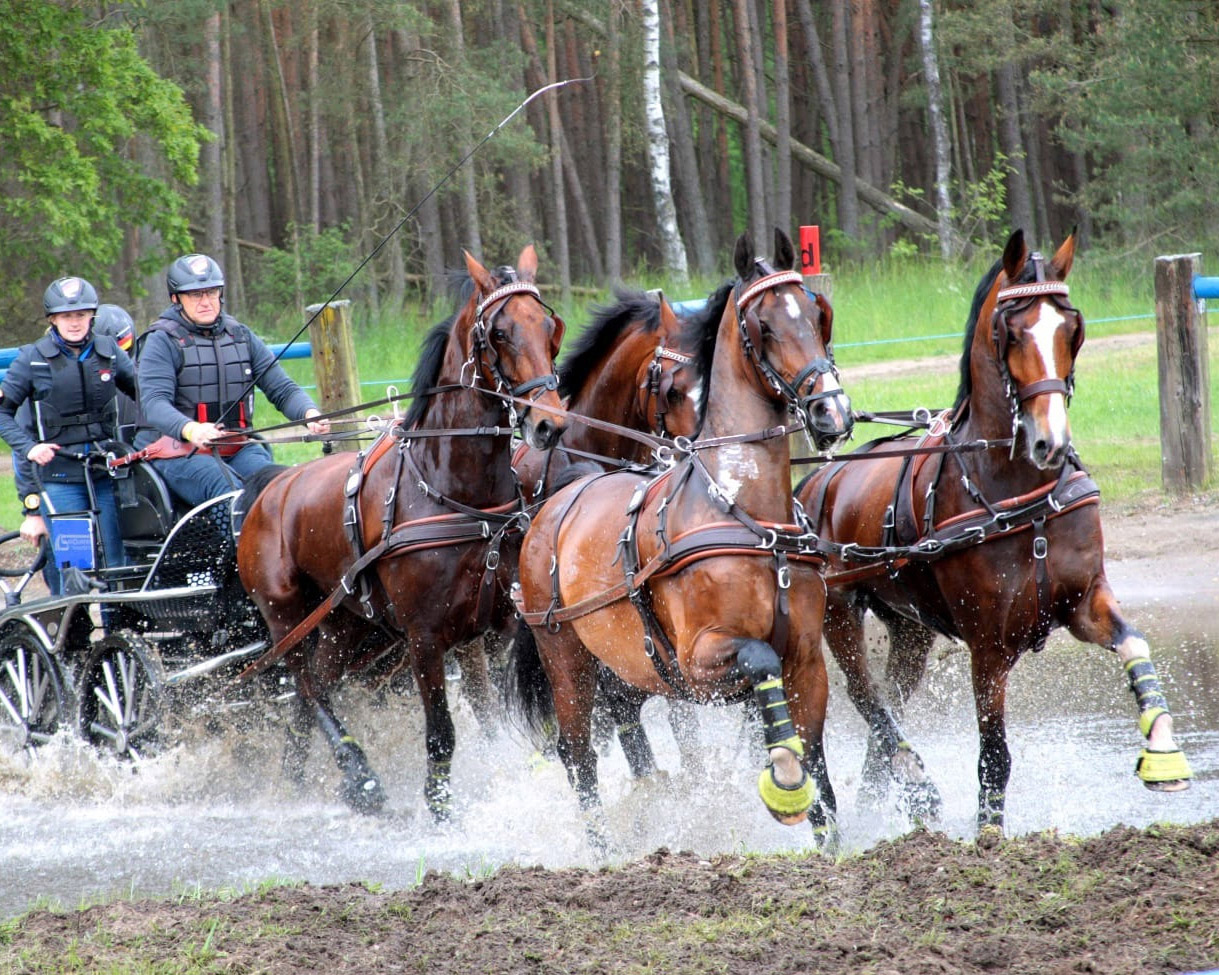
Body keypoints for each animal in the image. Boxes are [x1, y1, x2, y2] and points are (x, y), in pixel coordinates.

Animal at [235, 246, 568, 814]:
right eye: (500, 333)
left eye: (548, 327)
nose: (550, 424)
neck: (453, 492)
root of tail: (271, 487)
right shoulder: (424, 639)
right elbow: (442, 736)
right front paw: (440, 813)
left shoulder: (499, 628)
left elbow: (503, 716)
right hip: (285, 618)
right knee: (308, 687)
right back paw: (358, 776)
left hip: (345, 623)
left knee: (311, 690)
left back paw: (298, 778)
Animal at [509, 226, 853, 843]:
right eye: (764, 325)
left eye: (817, 315)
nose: (831, 410)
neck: (746, 515)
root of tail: (556, 502)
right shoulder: (702, 658)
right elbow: (761, 665)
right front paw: (782, 774)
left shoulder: (808, 663)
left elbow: (821, 775)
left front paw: (832, 846)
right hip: (567, 662)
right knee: (579, 758)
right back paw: (604, 848)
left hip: (623, 667)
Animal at [799, 226, 1189, 828]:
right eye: (1012, 332)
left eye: (1072, 328)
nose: (1050, 442)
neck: (1019, 494)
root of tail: (818, 479)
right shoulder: (989, 645)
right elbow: (994, 757)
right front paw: (988, 834)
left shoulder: (1083, 601)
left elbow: (1134, 643)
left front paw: (1164, 750)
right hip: (838, 614)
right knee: (867, 699)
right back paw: (908, 787)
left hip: (909, 630)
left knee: (885, 712)